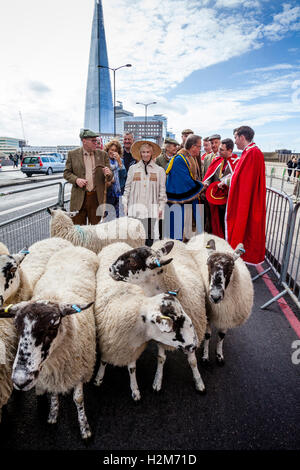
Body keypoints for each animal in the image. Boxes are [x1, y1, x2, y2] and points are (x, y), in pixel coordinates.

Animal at [0, 244, 99, 438]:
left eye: (53, 327)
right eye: (16, 326)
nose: (20, 380)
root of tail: (76, 247)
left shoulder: (80, 370)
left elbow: (78, 399)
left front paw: (84, 428)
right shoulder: (50, 376)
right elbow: (53, 395)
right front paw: (52, 414)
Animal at [188, 234, 253, 364]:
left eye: (231, 269)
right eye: (208, 266)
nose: (215, 296)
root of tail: (206, 233)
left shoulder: (227, 315)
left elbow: (221, 336)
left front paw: (219, 355)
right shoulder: (208, 314)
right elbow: (207, 335)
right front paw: (205, 357)